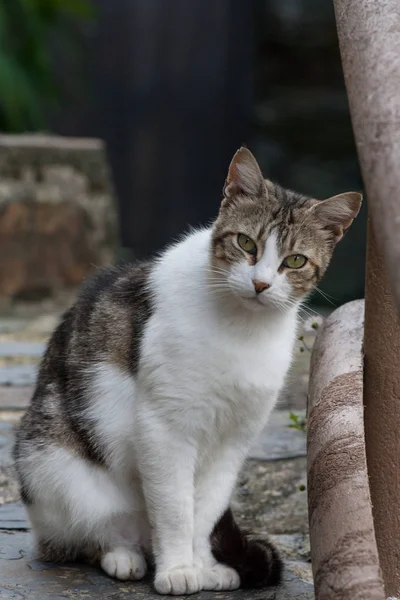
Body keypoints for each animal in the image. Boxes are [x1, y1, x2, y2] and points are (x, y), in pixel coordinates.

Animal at [13, 146, 362, 596]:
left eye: (295, 260)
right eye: (245, 242)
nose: (261, 284)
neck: (242, 330)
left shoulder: (233, 438)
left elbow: (205, 509)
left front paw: (202, 565)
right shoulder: (166, 427)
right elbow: (177, 508)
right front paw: (178, 569)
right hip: (58, 470)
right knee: (85, 535)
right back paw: (123, 555)